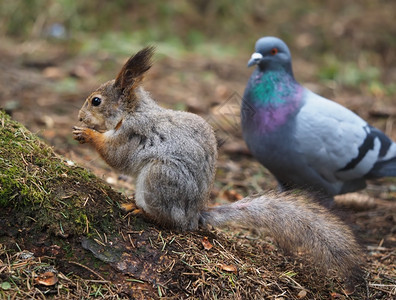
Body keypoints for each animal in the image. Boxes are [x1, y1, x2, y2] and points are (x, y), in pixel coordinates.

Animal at [72, 47, 364, 282]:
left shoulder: (133, 133)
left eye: (96, 101)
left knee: (171, 222)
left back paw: (141, 210)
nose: (79, 116)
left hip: (160, 176)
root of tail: (195, 214)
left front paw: (87, 134)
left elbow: (116, 156)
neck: (131, 111)